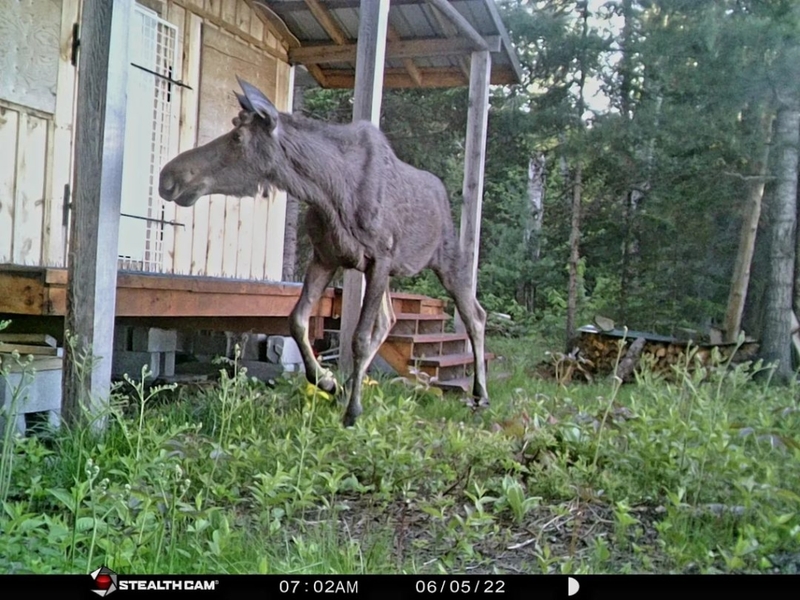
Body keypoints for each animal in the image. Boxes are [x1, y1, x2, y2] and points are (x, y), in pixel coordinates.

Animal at [158, 78, 488, 426]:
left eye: (237, 136)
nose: (168, 176)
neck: (327, 192)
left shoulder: (379, 258)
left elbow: (358, 338)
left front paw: (352, 412)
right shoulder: (327, 257)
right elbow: (298, 320)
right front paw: (327, 381)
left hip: (447, 259)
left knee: (475, 315)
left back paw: (480, 395)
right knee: (390, 320)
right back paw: (350, 385)